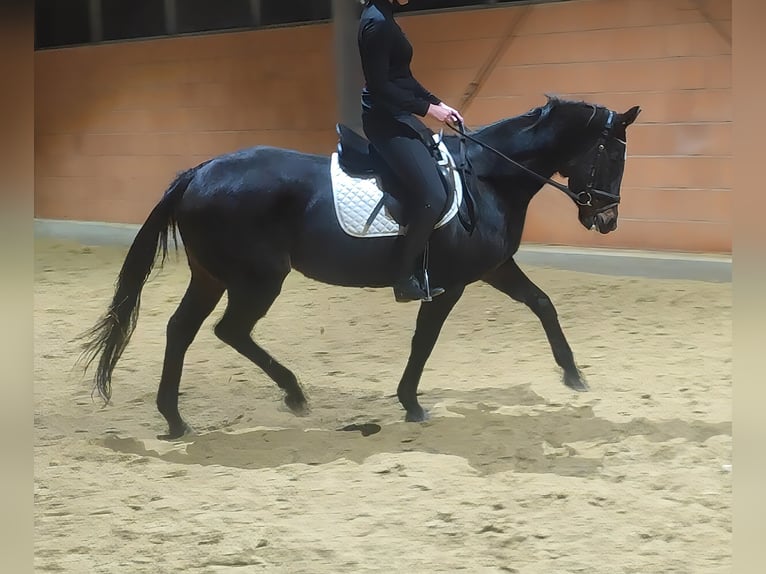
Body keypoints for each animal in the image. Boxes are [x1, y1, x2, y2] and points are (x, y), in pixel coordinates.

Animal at [78, 95, 641, 440]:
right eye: (613, 156)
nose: (607, 219)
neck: (487, 178)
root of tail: (198, 172)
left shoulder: (494, 268)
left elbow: (542, 303)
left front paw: (573, 374)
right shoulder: (451, 283)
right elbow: (424, 342)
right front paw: (411, 402)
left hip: (212, 276)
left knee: (182, 330)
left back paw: (176, 419)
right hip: (257, 280)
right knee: (228, 330)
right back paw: (293, 395)